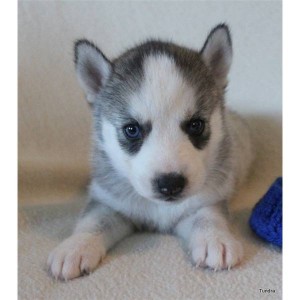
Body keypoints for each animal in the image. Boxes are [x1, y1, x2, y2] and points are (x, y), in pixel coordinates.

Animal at [47, 24, 253, 282]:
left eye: (196, 125)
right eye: (132, 129)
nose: (170, 184)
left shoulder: (207, 200)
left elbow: (209, 216)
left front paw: (215, 239)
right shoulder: (109, 202)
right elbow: (93, 221)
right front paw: (76, 245)